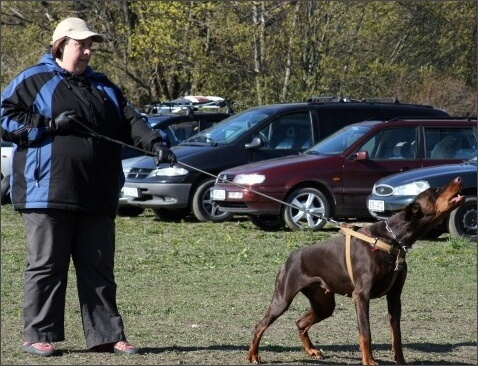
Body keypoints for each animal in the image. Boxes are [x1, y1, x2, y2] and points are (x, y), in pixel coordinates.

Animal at [248, 177, 464, 364]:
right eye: (435, 190)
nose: (459, 178)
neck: (392, 239)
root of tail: (292, 256)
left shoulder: (394, 296)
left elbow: (396, 334)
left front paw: (400, 361)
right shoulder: (361, 295)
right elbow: (365, 333)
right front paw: (369, 361)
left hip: (324, 303)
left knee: (300, 322)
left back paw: (312, 350)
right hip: (283, 297)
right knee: (260, 325)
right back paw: (253, 355)